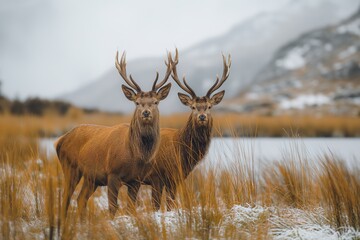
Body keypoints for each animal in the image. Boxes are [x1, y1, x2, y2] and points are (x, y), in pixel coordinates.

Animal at [55, 51, 173, 219]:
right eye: (137, 102)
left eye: (156, 102)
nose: (145, 113)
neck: (136, 155)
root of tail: (59, 140)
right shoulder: (112, 173)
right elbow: (112, 207)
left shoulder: (136, 180)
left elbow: (131, 208)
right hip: (70, 167)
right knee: (66, 197)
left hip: (91, 178)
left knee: (81, 199)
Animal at [128, 49, 232, 210]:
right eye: (193, 107)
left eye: (209, 106)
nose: (202, 116)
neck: (182, 152)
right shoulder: (158, 176)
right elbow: (159, 205)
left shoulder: (177, 178)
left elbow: (171, 203)